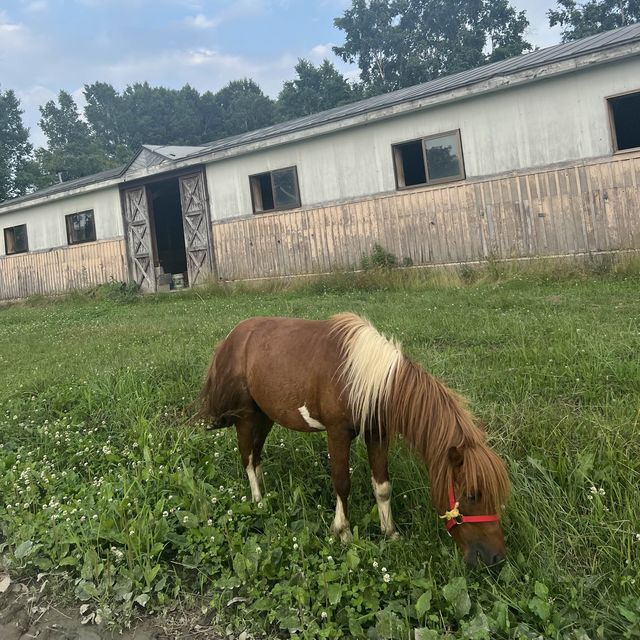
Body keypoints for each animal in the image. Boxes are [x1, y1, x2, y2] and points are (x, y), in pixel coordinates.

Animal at [199, 312, 510, 568]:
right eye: (472, 494)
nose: (495, 558)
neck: (366, 376)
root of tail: (230, 339)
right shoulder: (337, 433)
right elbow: (342, 483)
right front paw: (344, 533)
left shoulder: (377, 433)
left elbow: (382, 486)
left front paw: (390, 533)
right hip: (246, 416)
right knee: (248, 457)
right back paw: (258, 501)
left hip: (266, 416)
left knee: (256, 454)